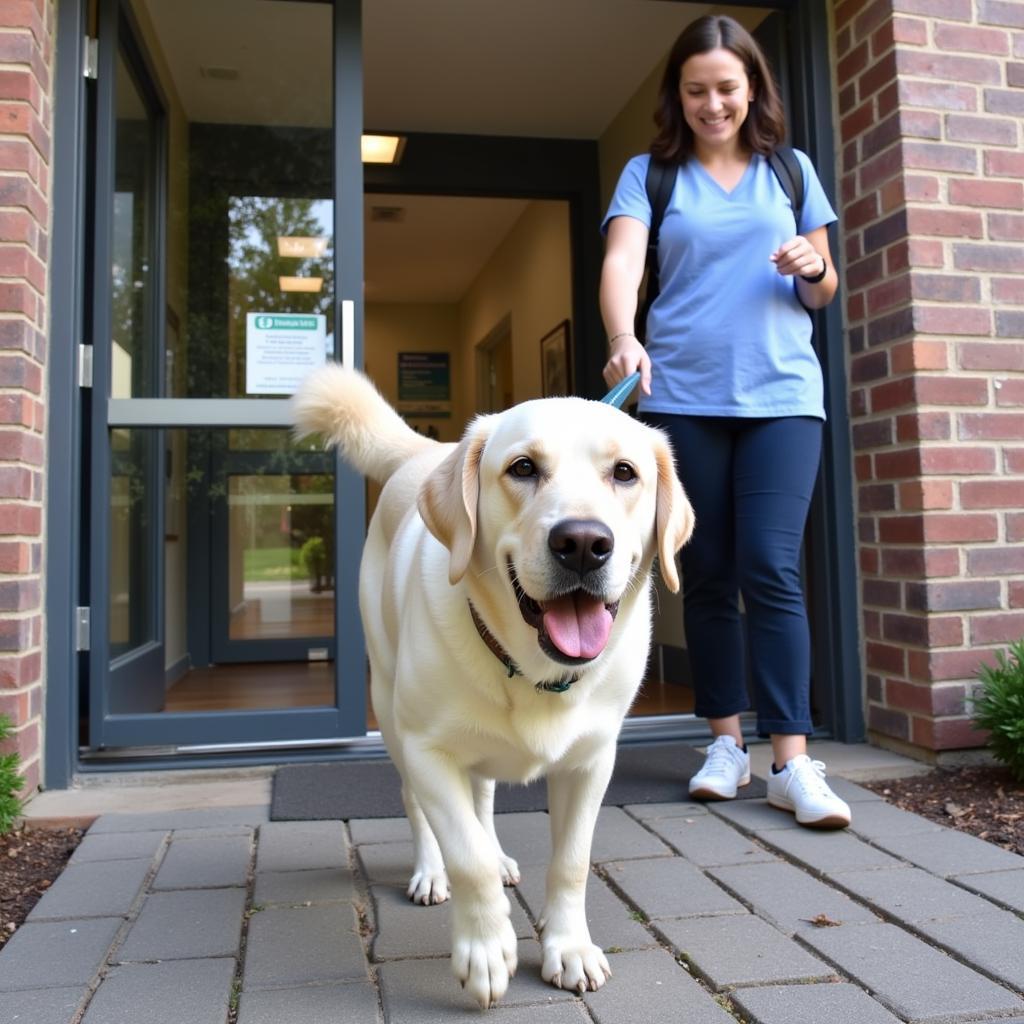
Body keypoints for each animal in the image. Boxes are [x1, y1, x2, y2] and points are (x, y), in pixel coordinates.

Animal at [288, 366, 692, 1007]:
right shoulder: (428, 750)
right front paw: (485, 948)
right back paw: (432, 873)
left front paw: (569, 948)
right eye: (523, 468)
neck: (533, 671)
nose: (583, 543)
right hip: (391, 711)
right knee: (420, 806)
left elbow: (571, 861)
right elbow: (465, 854)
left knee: (481, 797)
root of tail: (427, 452)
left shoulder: (592, 761)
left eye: (625, 472)